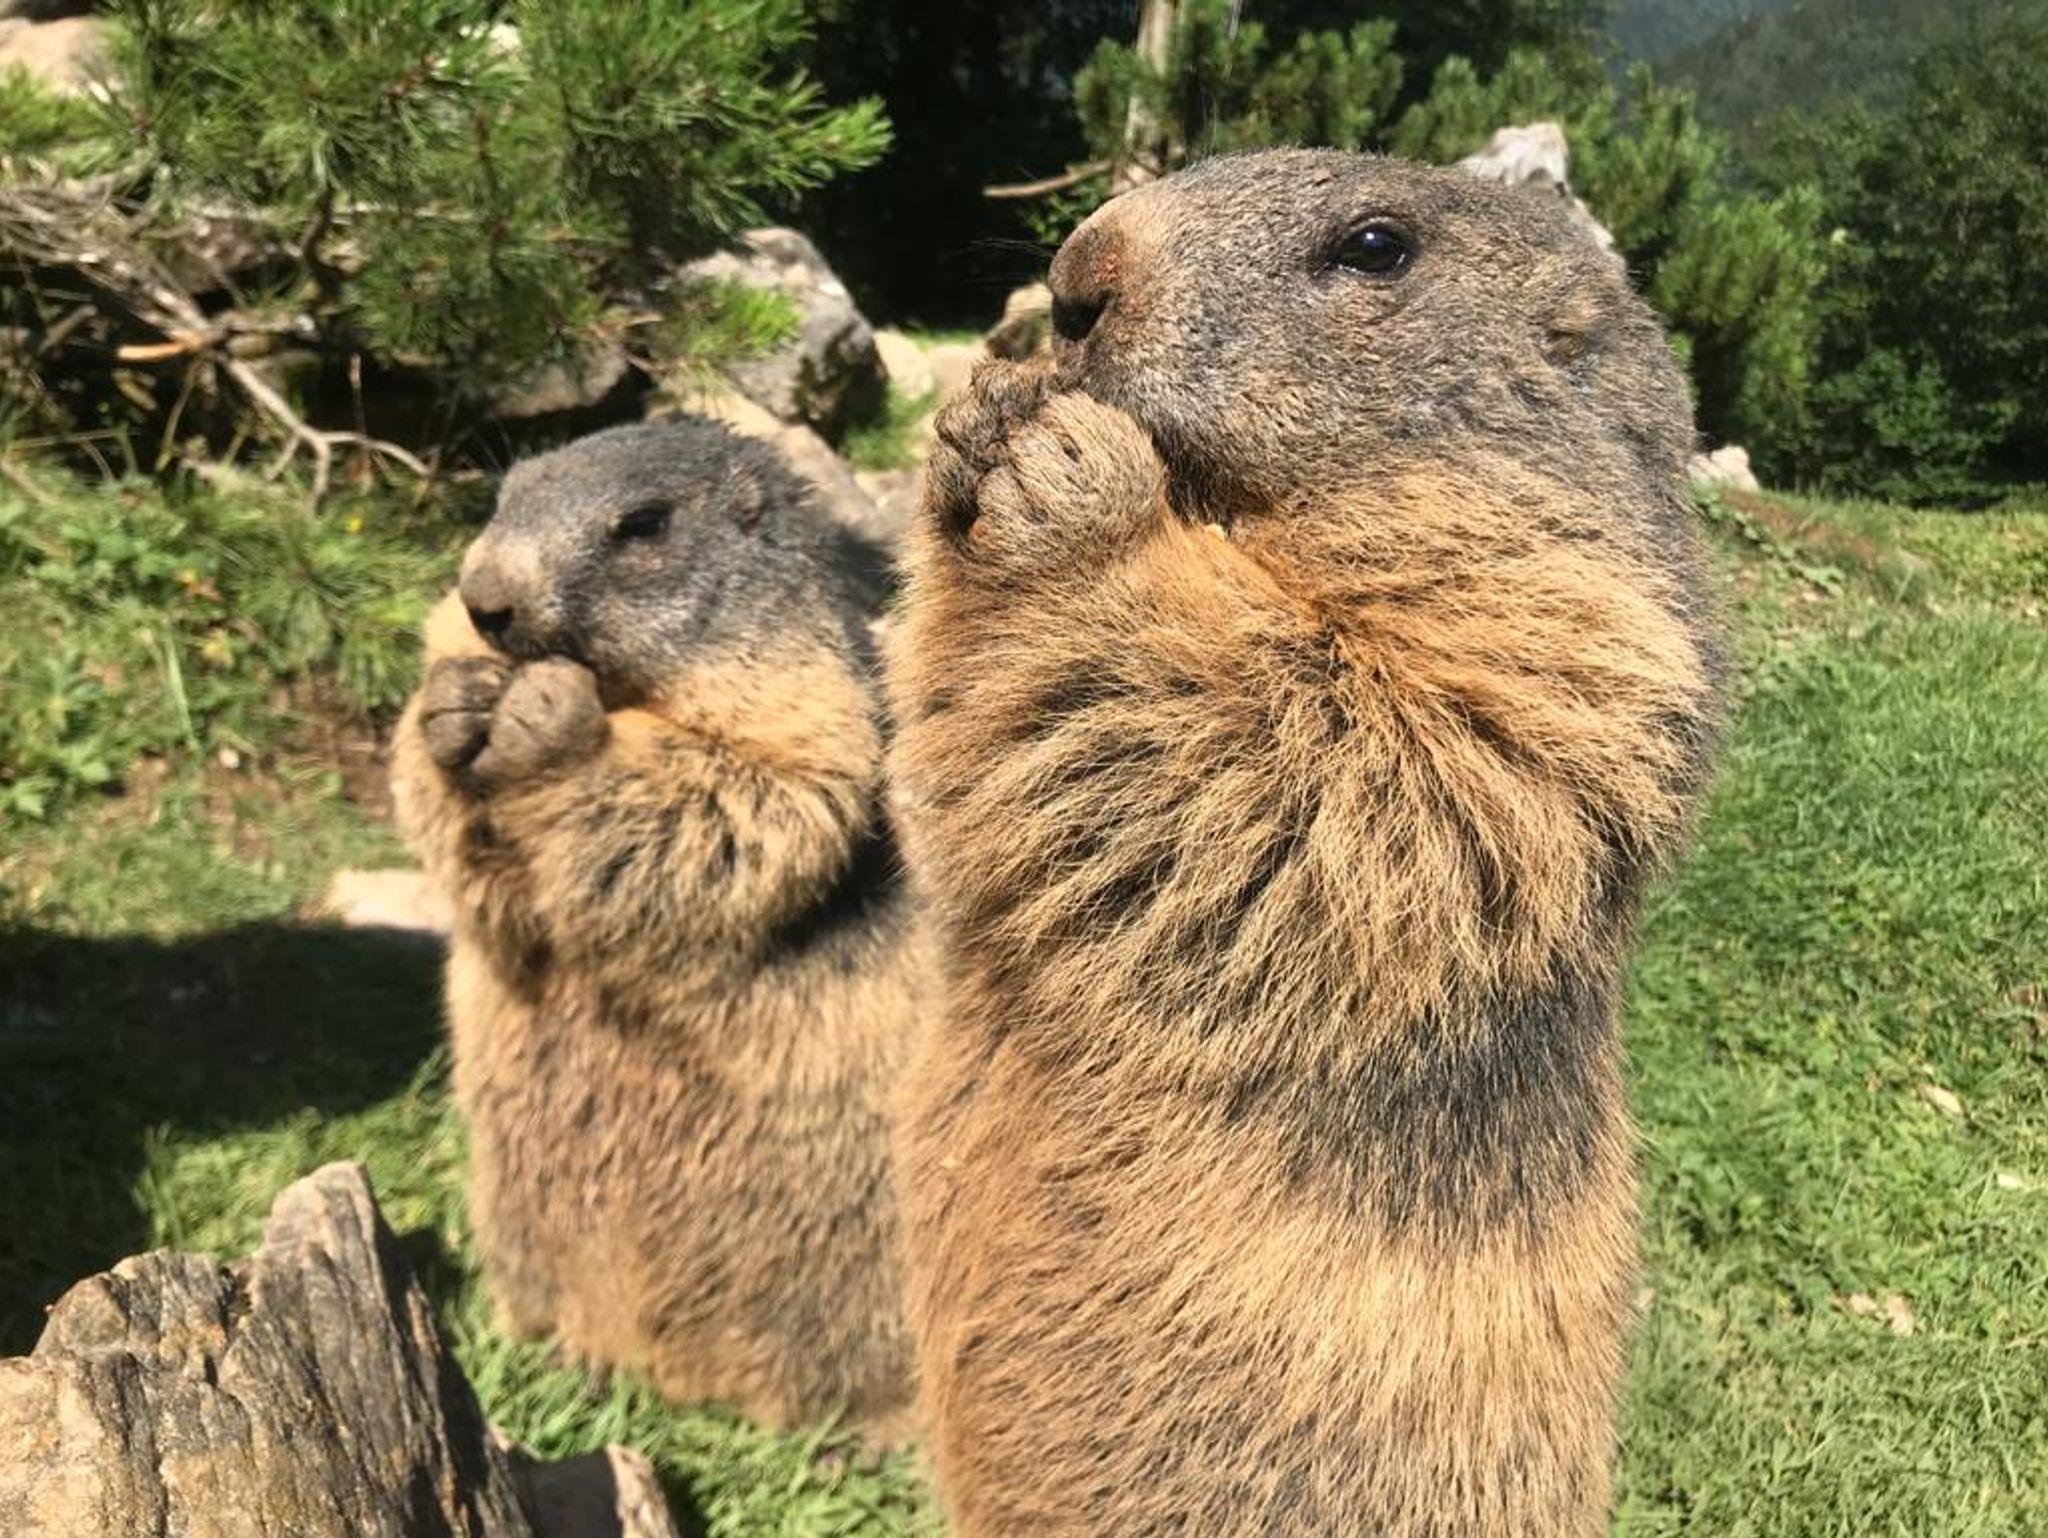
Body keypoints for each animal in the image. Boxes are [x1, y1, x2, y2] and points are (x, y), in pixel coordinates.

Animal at [390, 418, 920, 1440]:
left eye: (643, 524)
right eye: (503, 495)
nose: (486, 600)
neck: (623, 690)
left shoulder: (802, 692)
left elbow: (754, 793)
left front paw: (550, 724)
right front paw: (453, 703)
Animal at [885, 151, 1726, 1534]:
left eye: (1375, 246)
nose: (1072, 280)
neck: (1246, 515)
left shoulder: (1574, 620)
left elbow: (1389, 761)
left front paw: (1075, 485)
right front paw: (978, 420)